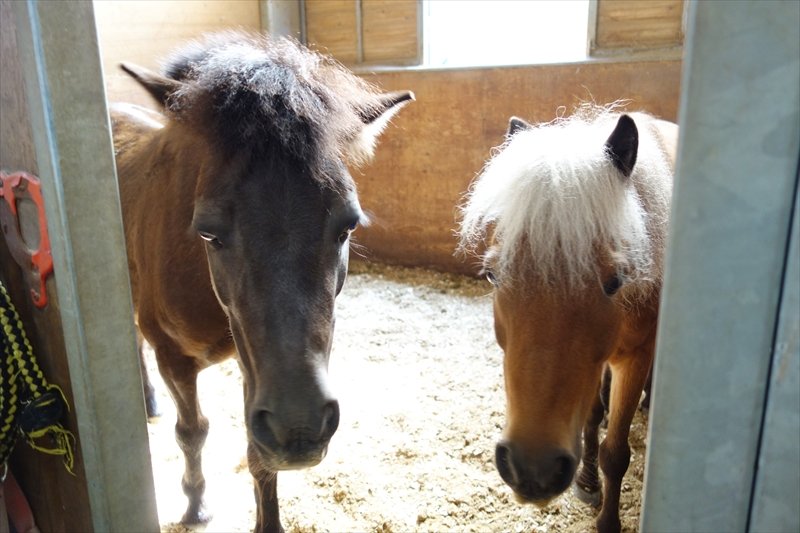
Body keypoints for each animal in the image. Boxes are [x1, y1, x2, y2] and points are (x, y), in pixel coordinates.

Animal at [109, 32, 412, 531]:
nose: (300, 429)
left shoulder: (255, 367)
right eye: (208, 231)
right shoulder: (175, 358)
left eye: (348, 225)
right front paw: (196, 504)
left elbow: (259, 457)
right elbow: (192, 433)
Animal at [459, 105, 677, 533]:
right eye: (493, 274)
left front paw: (607, 521)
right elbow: (591, 418)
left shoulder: (635, 357)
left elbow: (616, 452)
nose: (533, 470)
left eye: (615, 281)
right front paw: (588, 481)